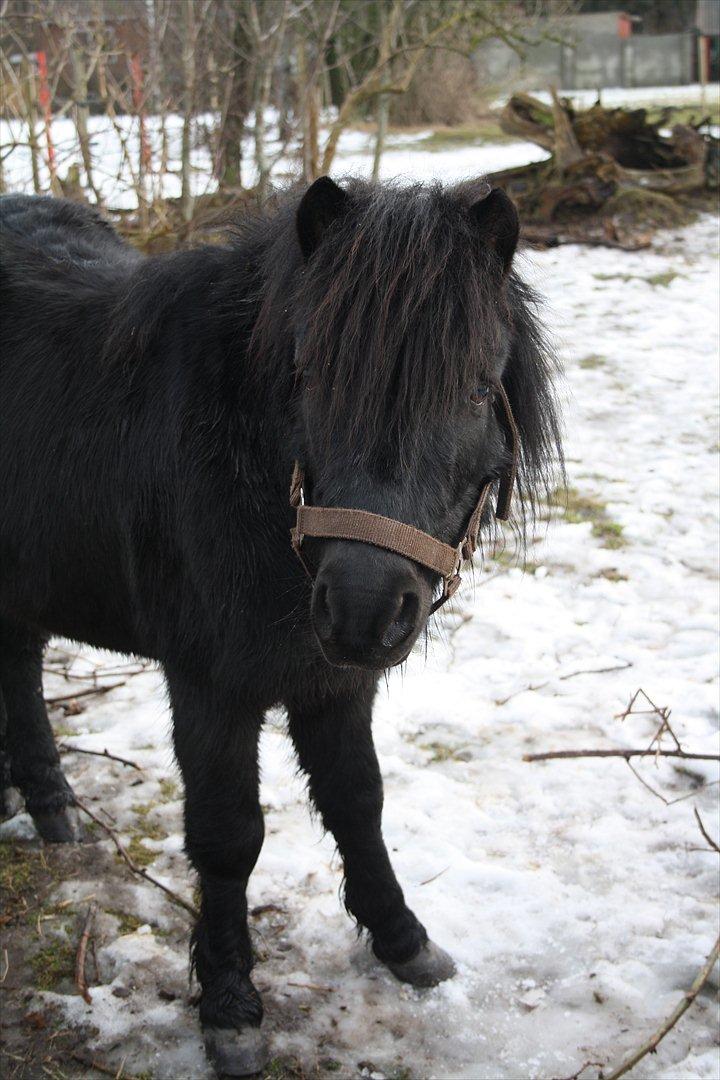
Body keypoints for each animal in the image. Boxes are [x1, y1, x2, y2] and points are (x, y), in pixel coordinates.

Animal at [0, 181, 561, 1075]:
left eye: (477, 390)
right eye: (308, 376)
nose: (365, 607)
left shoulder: (335, 682)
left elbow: (358, 802)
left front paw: (404, 942)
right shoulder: (209, 688)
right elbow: (228, 837)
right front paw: (229, 1004)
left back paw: (45, 804)